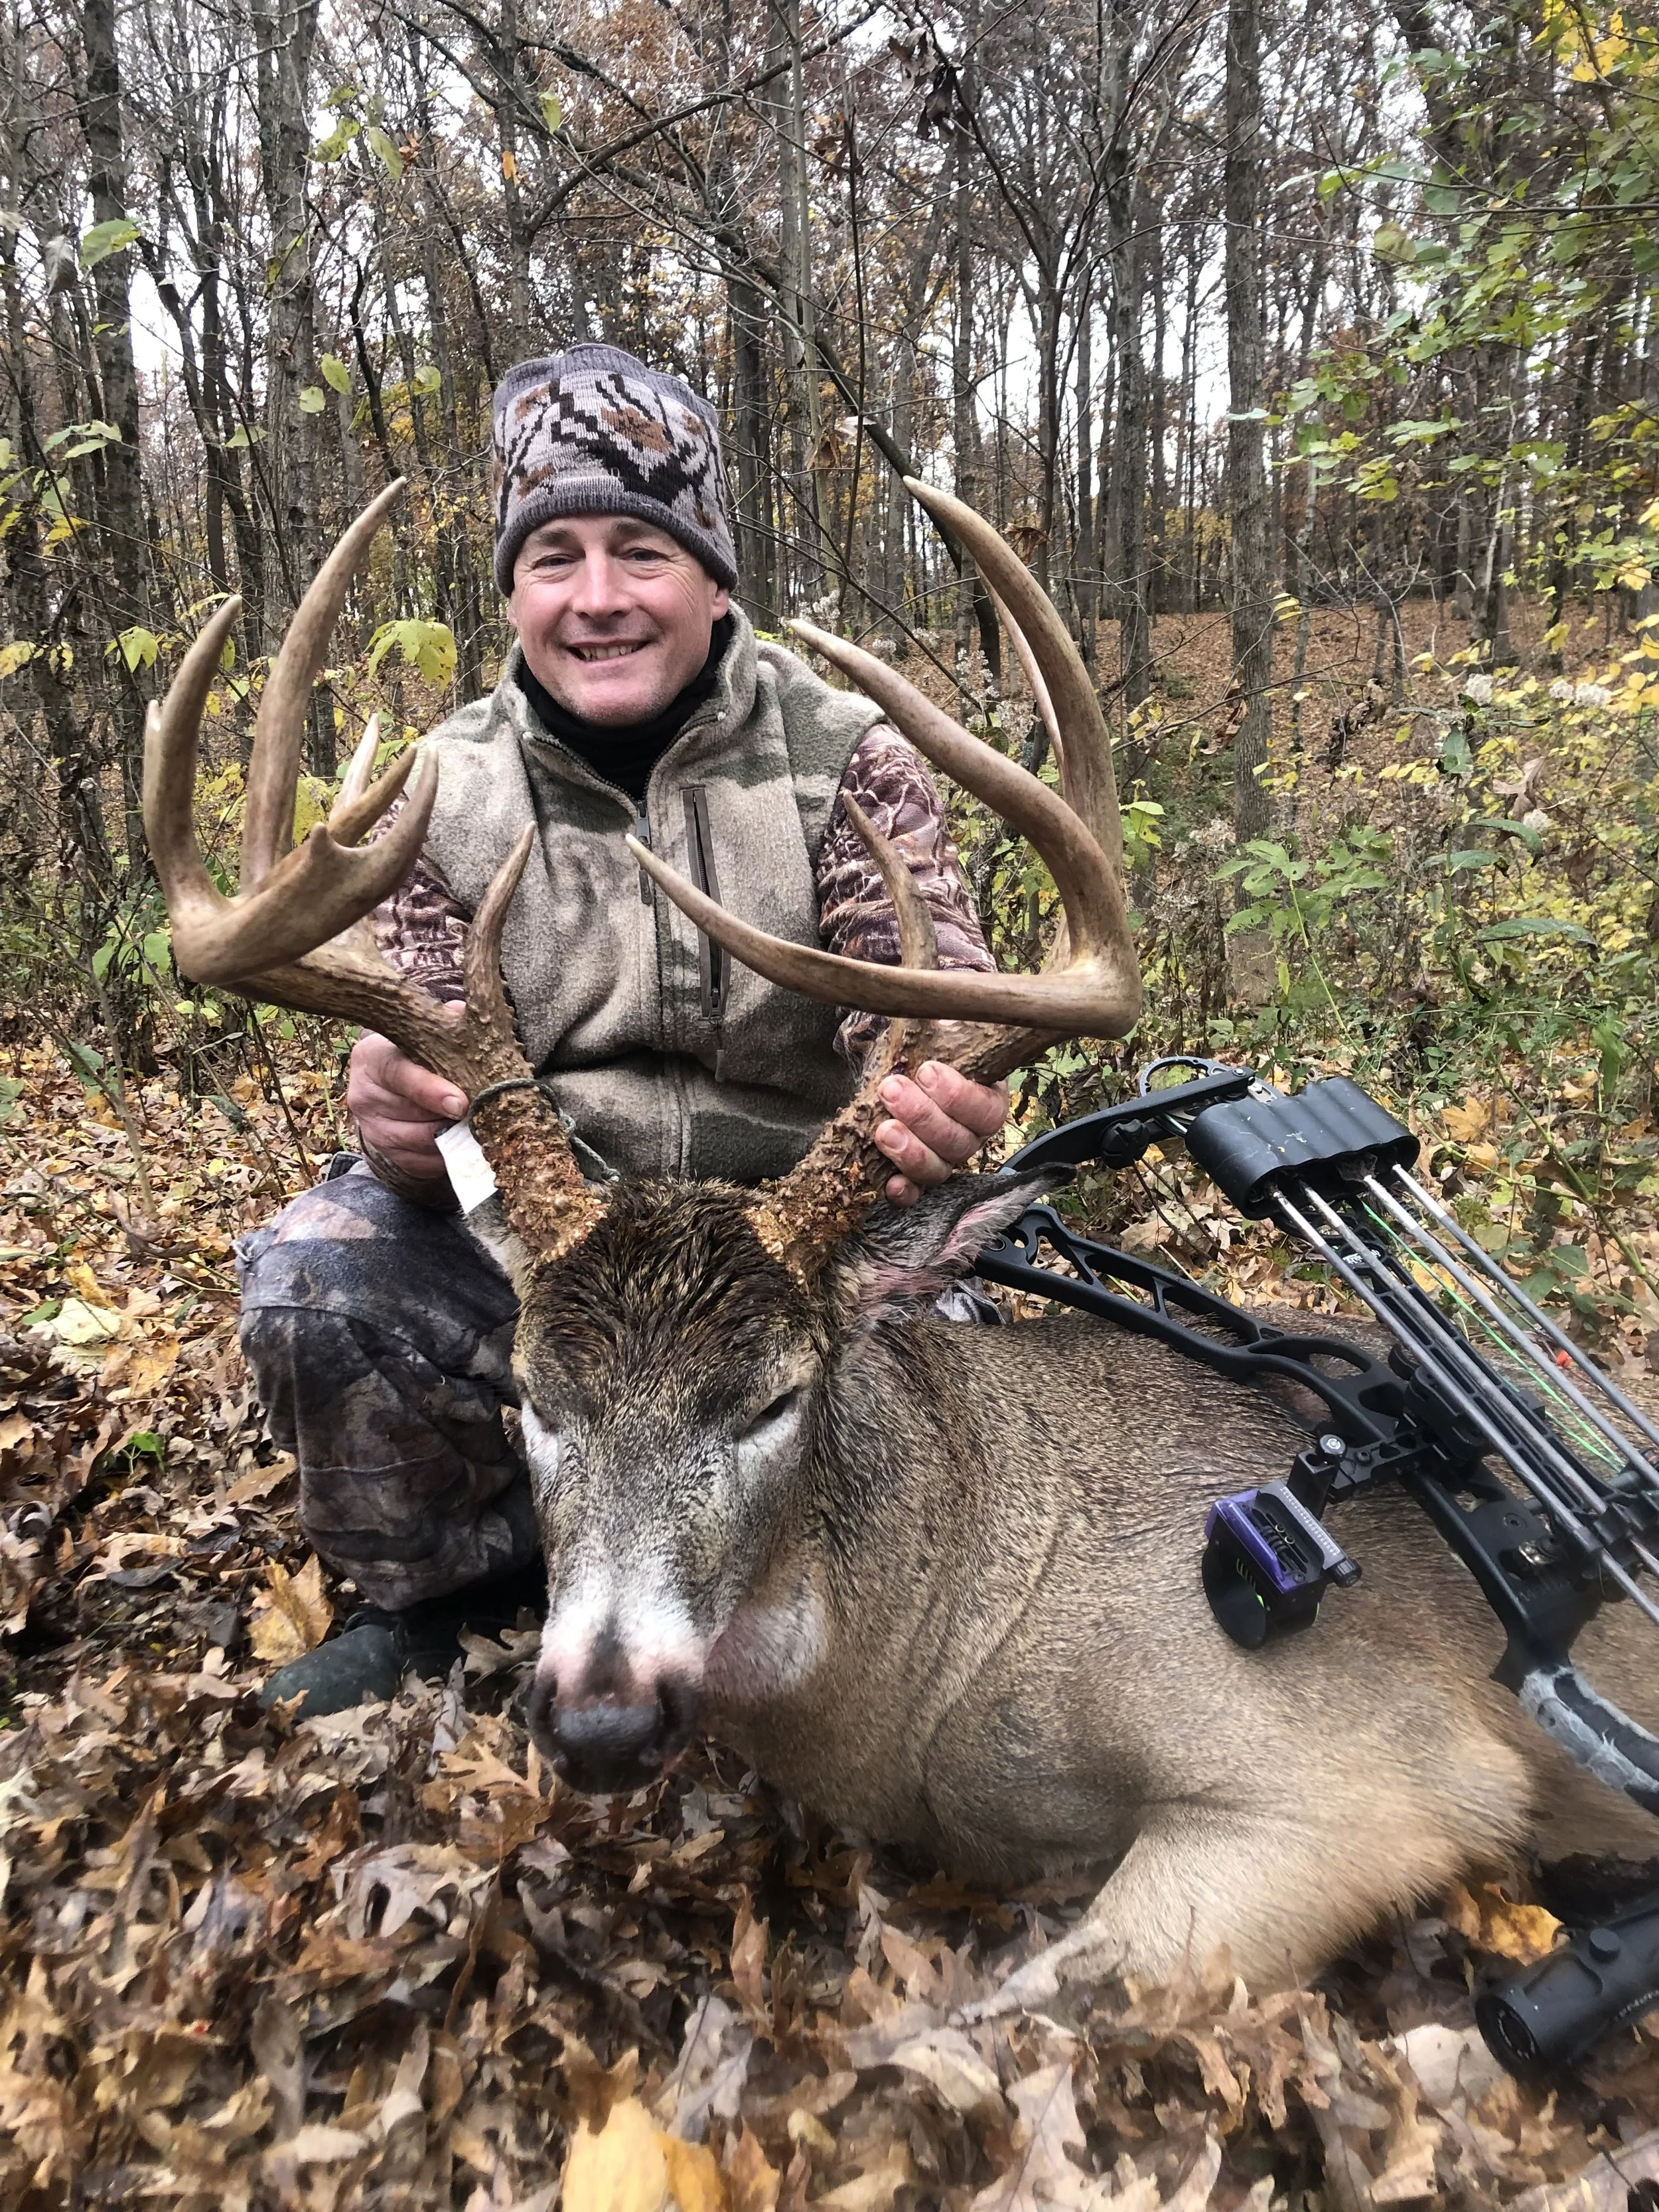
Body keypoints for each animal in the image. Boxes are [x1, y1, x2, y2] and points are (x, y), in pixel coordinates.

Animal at [144, 480, 1658, 2018]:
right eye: (531, 1397)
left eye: (772, 1398)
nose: (605, 1715)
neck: (921, 1665)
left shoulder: (1382, 1776)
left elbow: (1000, 2016)